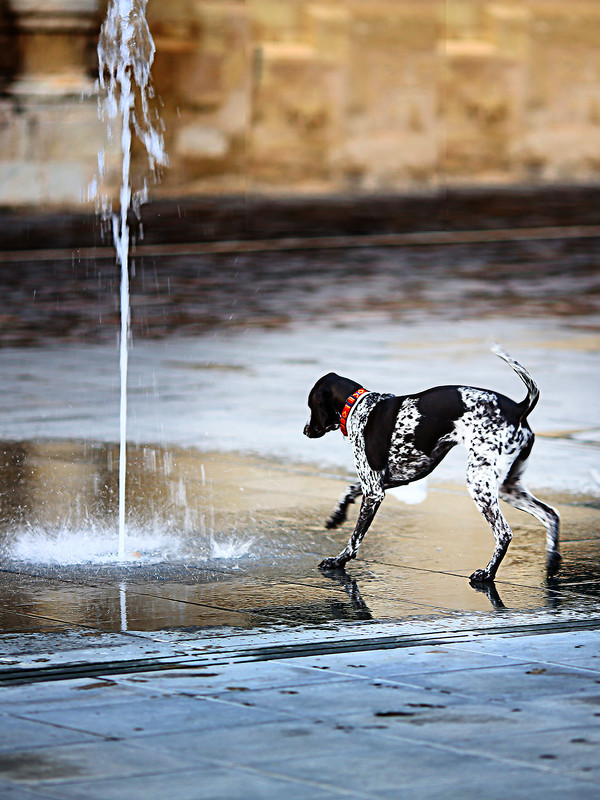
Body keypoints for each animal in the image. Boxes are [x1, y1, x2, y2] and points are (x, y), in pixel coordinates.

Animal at [304, 346, 564, 584]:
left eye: (310, 405)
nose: (306, 430)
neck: (359, 406)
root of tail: (519, 408)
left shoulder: (375, 492)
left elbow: (355, 538)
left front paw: (338, 561)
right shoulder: (387, 481)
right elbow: (350, 489)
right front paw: (337, 516)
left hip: (479, 483)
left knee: (504, 533)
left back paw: (487, 574)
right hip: (507, 487)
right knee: (550, 514)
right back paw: (552, 564)